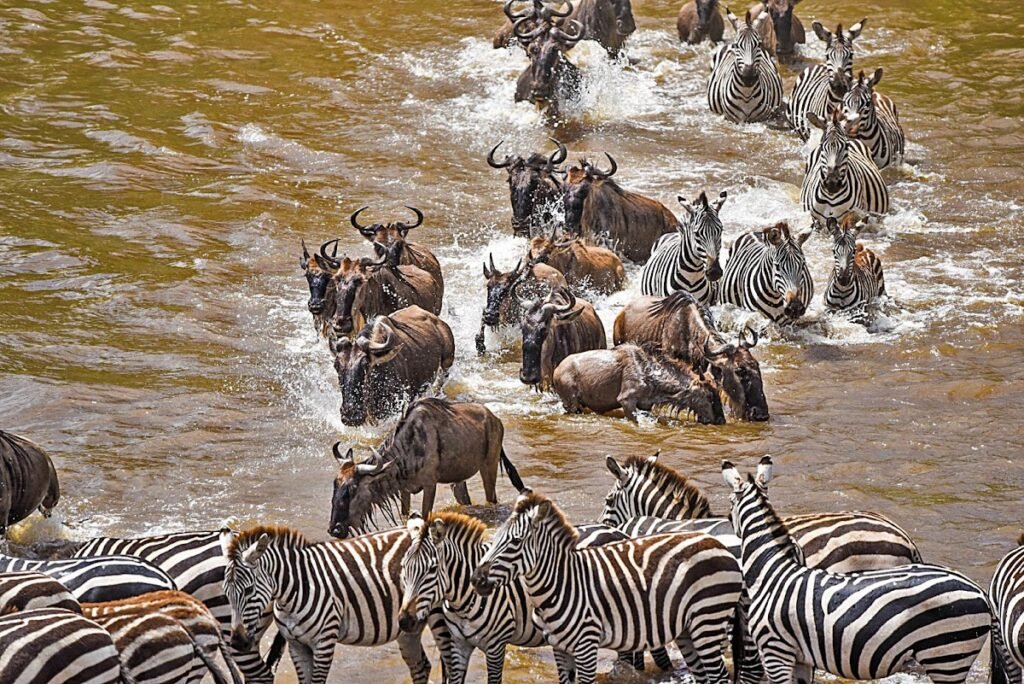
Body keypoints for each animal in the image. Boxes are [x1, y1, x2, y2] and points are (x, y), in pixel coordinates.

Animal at [220, 524, 450, 684]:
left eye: (249, 590)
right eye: (225, 593)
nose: (238, 643)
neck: (295, 589)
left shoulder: (324, 642)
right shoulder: (296, 646)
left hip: (437, 616)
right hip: (407, 628)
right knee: (421, 667)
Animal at [398, 512, 673, 683]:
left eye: (432, 569)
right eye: (403, 568)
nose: (404, 621)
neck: (463, 600)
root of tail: (620, 534)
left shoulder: (496, 645)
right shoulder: (459, 644)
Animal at [470, 490, 742, 684]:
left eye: (515, 542)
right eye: (494, 539)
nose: (476, 580)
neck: (561, 583)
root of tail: (719, 545)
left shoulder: (586, 646)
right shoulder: (559, 648)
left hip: (708, 620)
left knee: (718, 676)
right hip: (688, 629)